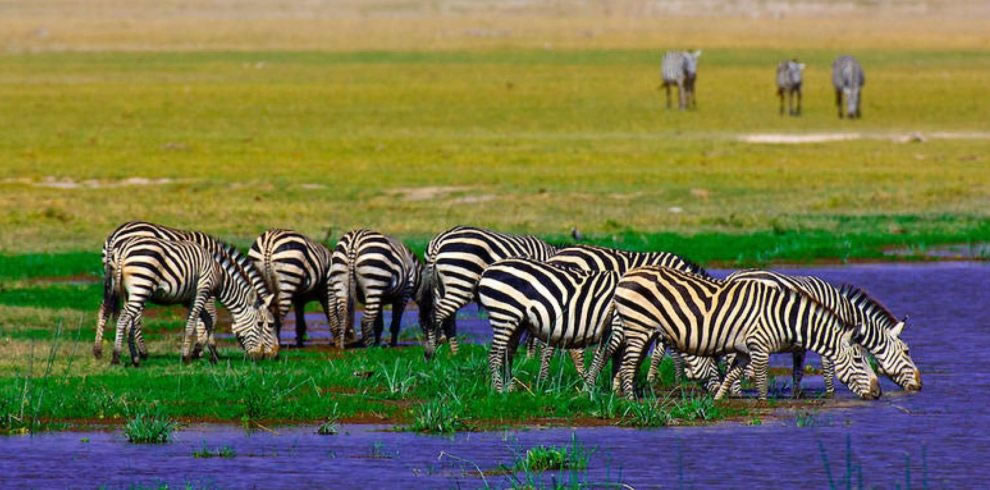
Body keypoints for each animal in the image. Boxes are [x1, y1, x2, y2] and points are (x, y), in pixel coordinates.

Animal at [95, 222, 274, 360]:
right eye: (265, 324)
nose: (268, 356)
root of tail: (115, 236)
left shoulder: (190, 294)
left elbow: (204, 319)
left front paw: (200, 350)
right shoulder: (204, 289)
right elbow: (207, 319)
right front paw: (203, 351)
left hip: (113, 282)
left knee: (105, 309)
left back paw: (99, 351)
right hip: (139, 283)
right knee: (132, 316)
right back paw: (136, 353)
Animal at [418, 227, 560, 360]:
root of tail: (439, 240)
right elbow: (535, 333)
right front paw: (530, 358)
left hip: (439, 286)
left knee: (446, 318)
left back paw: (454, 355)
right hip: (461, 282)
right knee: (438, 314)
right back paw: (432, 353)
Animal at [478, 258, 624, 392]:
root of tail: (488, 269)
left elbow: (618, 365)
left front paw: (617, 395)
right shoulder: (617, 328)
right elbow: (606, 360)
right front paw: (590, 391)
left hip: (515, 323)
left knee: (507, 354)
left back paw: (509, 389)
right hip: (504, 315)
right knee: (494, 356)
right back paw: (499, 391)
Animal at [612, 266, 884, 400]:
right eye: (858, 359)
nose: (877, 393)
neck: (783, 317)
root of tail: (627, 274)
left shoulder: (744, 350)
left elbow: (731, 376)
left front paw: (718, 399)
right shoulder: (760, 347)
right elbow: (762, 382)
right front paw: (761, 405)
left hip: (642, 330)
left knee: (626, 363)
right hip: (638, 327)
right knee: (628, 365)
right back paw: (630, 399)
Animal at [728, 270, 924, 396]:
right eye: (907, 351)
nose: (920, 385)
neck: (843, 312)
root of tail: (734, 276)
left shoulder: (801, 342)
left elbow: (798, 371)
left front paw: (797, 395)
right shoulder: (830, 336)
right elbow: (828, 369)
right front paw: (830, 393)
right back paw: (736, 393)